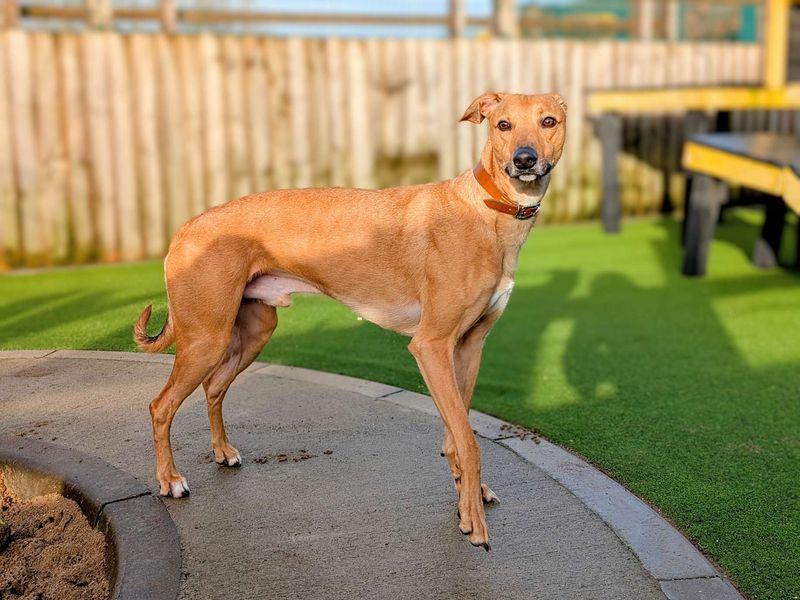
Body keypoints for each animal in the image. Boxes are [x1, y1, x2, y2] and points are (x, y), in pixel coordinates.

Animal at [134, 91, 564, 552]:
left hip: (252, 332)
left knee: (214, 387)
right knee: (160, 405)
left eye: (549, 121)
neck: (486, 210)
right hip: (206, 337)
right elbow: (468, 441)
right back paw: (170, 481)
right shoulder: (431, 347)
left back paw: (223, 452)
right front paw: (476, 525)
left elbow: (457, 431)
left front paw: (469, 500)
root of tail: (186, 227)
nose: (524, 159)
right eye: (503, 124)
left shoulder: (468, 347)